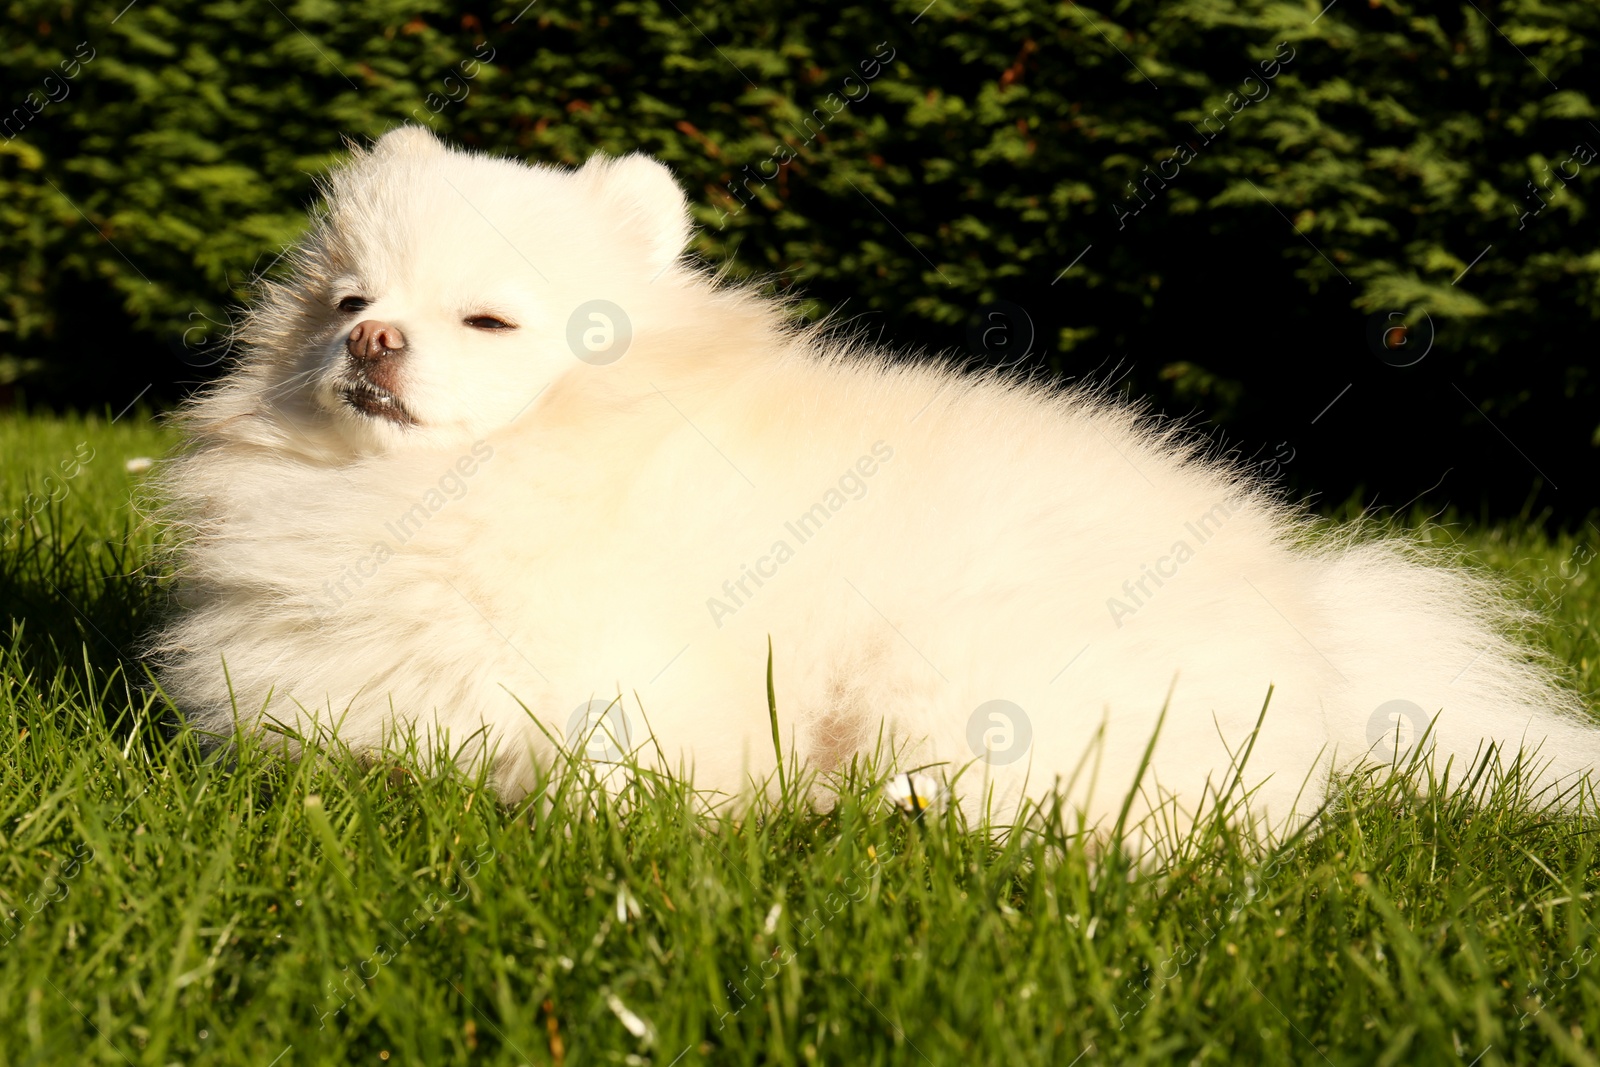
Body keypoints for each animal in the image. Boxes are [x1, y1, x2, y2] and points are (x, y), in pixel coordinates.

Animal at [156, 127, 1593, 831]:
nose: (371, 343)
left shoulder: (624, 694)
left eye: (488, 321)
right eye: (348, 301)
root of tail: (1325, 642)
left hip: (968, 658)